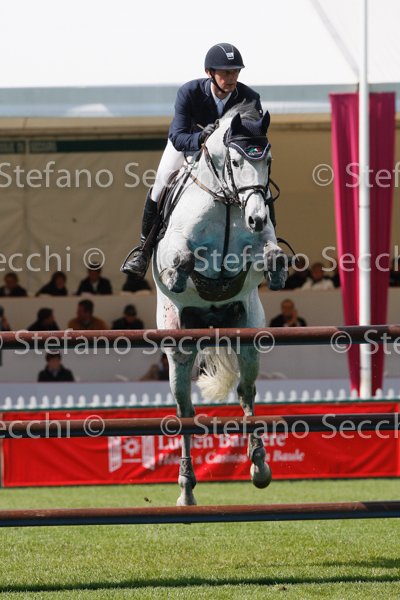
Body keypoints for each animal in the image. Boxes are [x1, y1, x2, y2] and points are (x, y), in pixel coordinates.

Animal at [153, 102, 287, 505]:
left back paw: (259, 467)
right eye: (238, 160)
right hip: (178, 351)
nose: (256, 217)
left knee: (246, 392)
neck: (228, 201)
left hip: (248, 335)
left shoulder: (256, 251)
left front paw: (277, 271)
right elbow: (181, 258)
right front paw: (178, 277)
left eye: (267, 159)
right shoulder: (174, 246)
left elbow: (270, 254)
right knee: (184, 411)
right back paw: (186, 488)